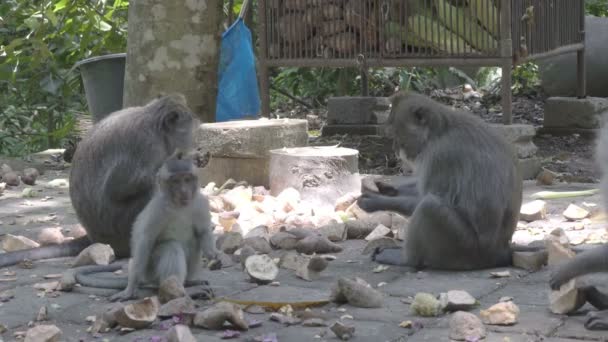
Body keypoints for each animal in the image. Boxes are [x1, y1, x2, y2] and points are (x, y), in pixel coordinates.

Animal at [0, 93, 197, 268]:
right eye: (188, 130)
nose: (192, 141)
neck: (155, 125)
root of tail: (95, 238)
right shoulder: (147, 145)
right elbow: (119, 188)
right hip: (119, 229)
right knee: (151, 193)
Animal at [74, 151, 220, 300]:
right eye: (176, 181)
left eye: (187, 179)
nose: (184, 191)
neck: (178, 206)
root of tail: (147, 278)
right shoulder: (157, 209)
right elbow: (145, 241)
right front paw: (130, 289)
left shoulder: (201, 203)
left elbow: (203, 232)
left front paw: (212, 254)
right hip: (150, 270)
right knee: (170, 247)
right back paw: (179, 289)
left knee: (194, 241)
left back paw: (189, 282)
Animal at [356, 92, 524, 272]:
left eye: (396, 134)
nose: (395, 150)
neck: (437, 132)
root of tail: (501, 251)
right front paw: (387, 189)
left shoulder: (440, 156)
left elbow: (423, 198)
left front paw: (375, 201)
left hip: (465, 248)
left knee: (429, 206)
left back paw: (406, 260)